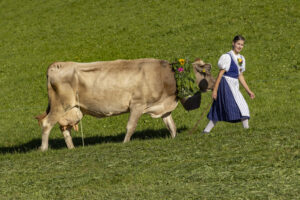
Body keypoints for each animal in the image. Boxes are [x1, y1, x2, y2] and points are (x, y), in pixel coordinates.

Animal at [36, 57, 216, 150]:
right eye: (205, 71)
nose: (214, 84)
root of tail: (56, 65)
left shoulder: (163, 107)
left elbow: (171, 126)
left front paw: (173, 139)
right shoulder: (137, 105)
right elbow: (131, 126)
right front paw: (125, 144)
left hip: (73, 109)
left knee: (64, 128)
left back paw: (72, 149)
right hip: (61, 105)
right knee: (46, 124)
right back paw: (44, 149)